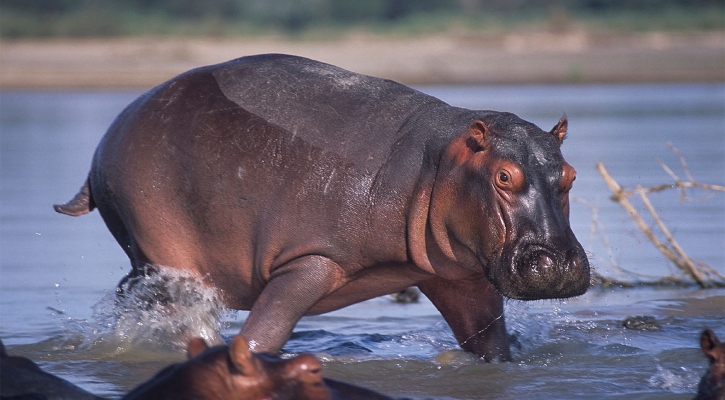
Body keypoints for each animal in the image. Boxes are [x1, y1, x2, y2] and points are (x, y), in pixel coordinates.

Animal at [55, 54, 588, 362]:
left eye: (570, 175)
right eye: (504, 177)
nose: (559, 262)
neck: (436, 162)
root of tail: (106, 140)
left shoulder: (460, 277)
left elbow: (490, 345)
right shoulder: (310, 261)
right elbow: (259, 340)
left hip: (145, 262)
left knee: (131, 294)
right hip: (165, 255)